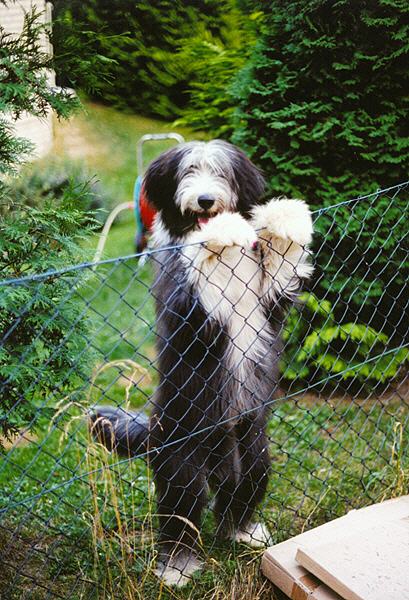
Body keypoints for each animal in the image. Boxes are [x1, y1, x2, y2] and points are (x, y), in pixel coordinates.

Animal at [90, 139, 312, 584]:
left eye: (220, 172)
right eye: (188, 172)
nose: (206, 200)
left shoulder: (268, 302)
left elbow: (281, 271)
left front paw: (287, 217)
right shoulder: (188, 309)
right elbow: (202, 283)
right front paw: (218, 234)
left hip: (254, 449)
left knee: (240, 495)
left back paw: (244, 532)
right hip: (182, 461)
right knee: (182, 513)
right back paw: (177, 567)